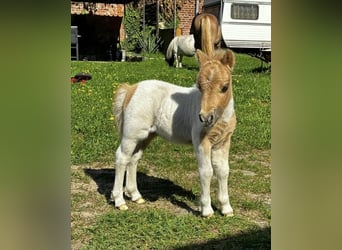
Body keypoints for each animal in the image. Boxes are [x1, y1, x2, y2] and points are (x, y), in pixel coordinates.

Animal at [111, 48, 236, 217]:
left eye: (224, 87)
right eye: (199, 87)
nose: (205, 117)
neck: (220, 118)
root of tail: (132, 88)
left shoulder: (223, 142)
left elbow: (223, 171)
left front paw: (226, 208)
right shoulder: (201, 142)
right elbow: (206, 171)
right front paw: (206, 210)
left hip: (145, 136)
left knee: (134, 158)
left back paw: (136, 195)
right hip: (131, 135)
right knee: (122, 157)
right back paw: (119, 201)